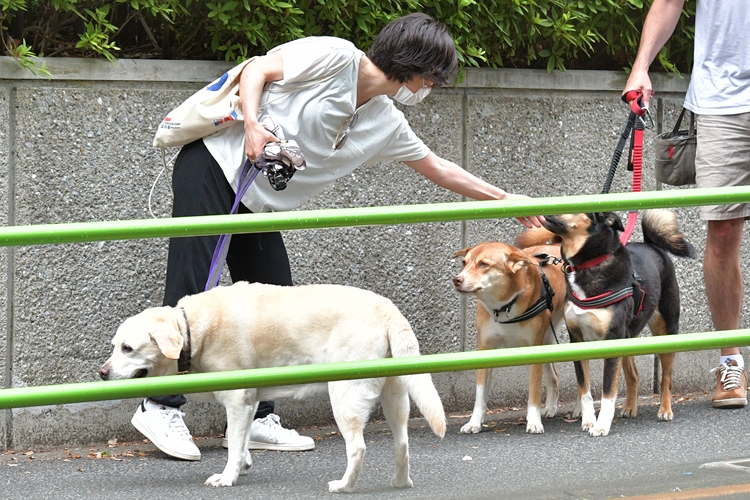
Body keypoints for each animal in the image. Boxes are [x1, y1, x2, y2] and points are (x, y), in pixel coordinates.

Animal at [98, 282, 446, 492]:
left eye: (128, 349)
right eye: (114, 346)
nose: (101, 373)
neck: (193, 330)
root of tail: (388, 308)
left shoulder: (238, 400)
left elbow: (234, 444)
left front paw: (227, 476)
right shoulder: (249, 402)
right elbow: (239, 443)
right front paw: (242, 464)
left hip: (344, 395)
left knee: (358, 447)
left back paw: (344, 486)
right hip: (395, 395)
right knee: (402, 443)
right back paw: (400, 482)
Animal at [456, 238, 568, 434]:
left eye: (483, 264)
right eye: (464, 263)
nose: (457, 280)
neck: (504, 307)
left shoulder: (534, 351)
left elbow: (533, 393)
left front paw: (534, 421)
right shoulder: (485, 349)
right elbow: (480, 395)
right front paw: (474, 422)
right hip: (547, 340)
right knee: (554, 376)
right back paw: (551, 408)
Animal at [544, 209, 696, 436]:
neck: (588, 264)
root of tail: (652, 245)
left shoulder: (612, 339)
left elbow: (608, 392)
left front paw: (601, 426)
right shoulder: (578, 340)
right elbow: (584, 390)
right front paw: (588, 421)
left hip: (666, 330)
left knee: (666, 378)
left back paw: (665, 410)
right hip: (627, 337)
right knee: (633, 375)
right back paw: (630, 407)